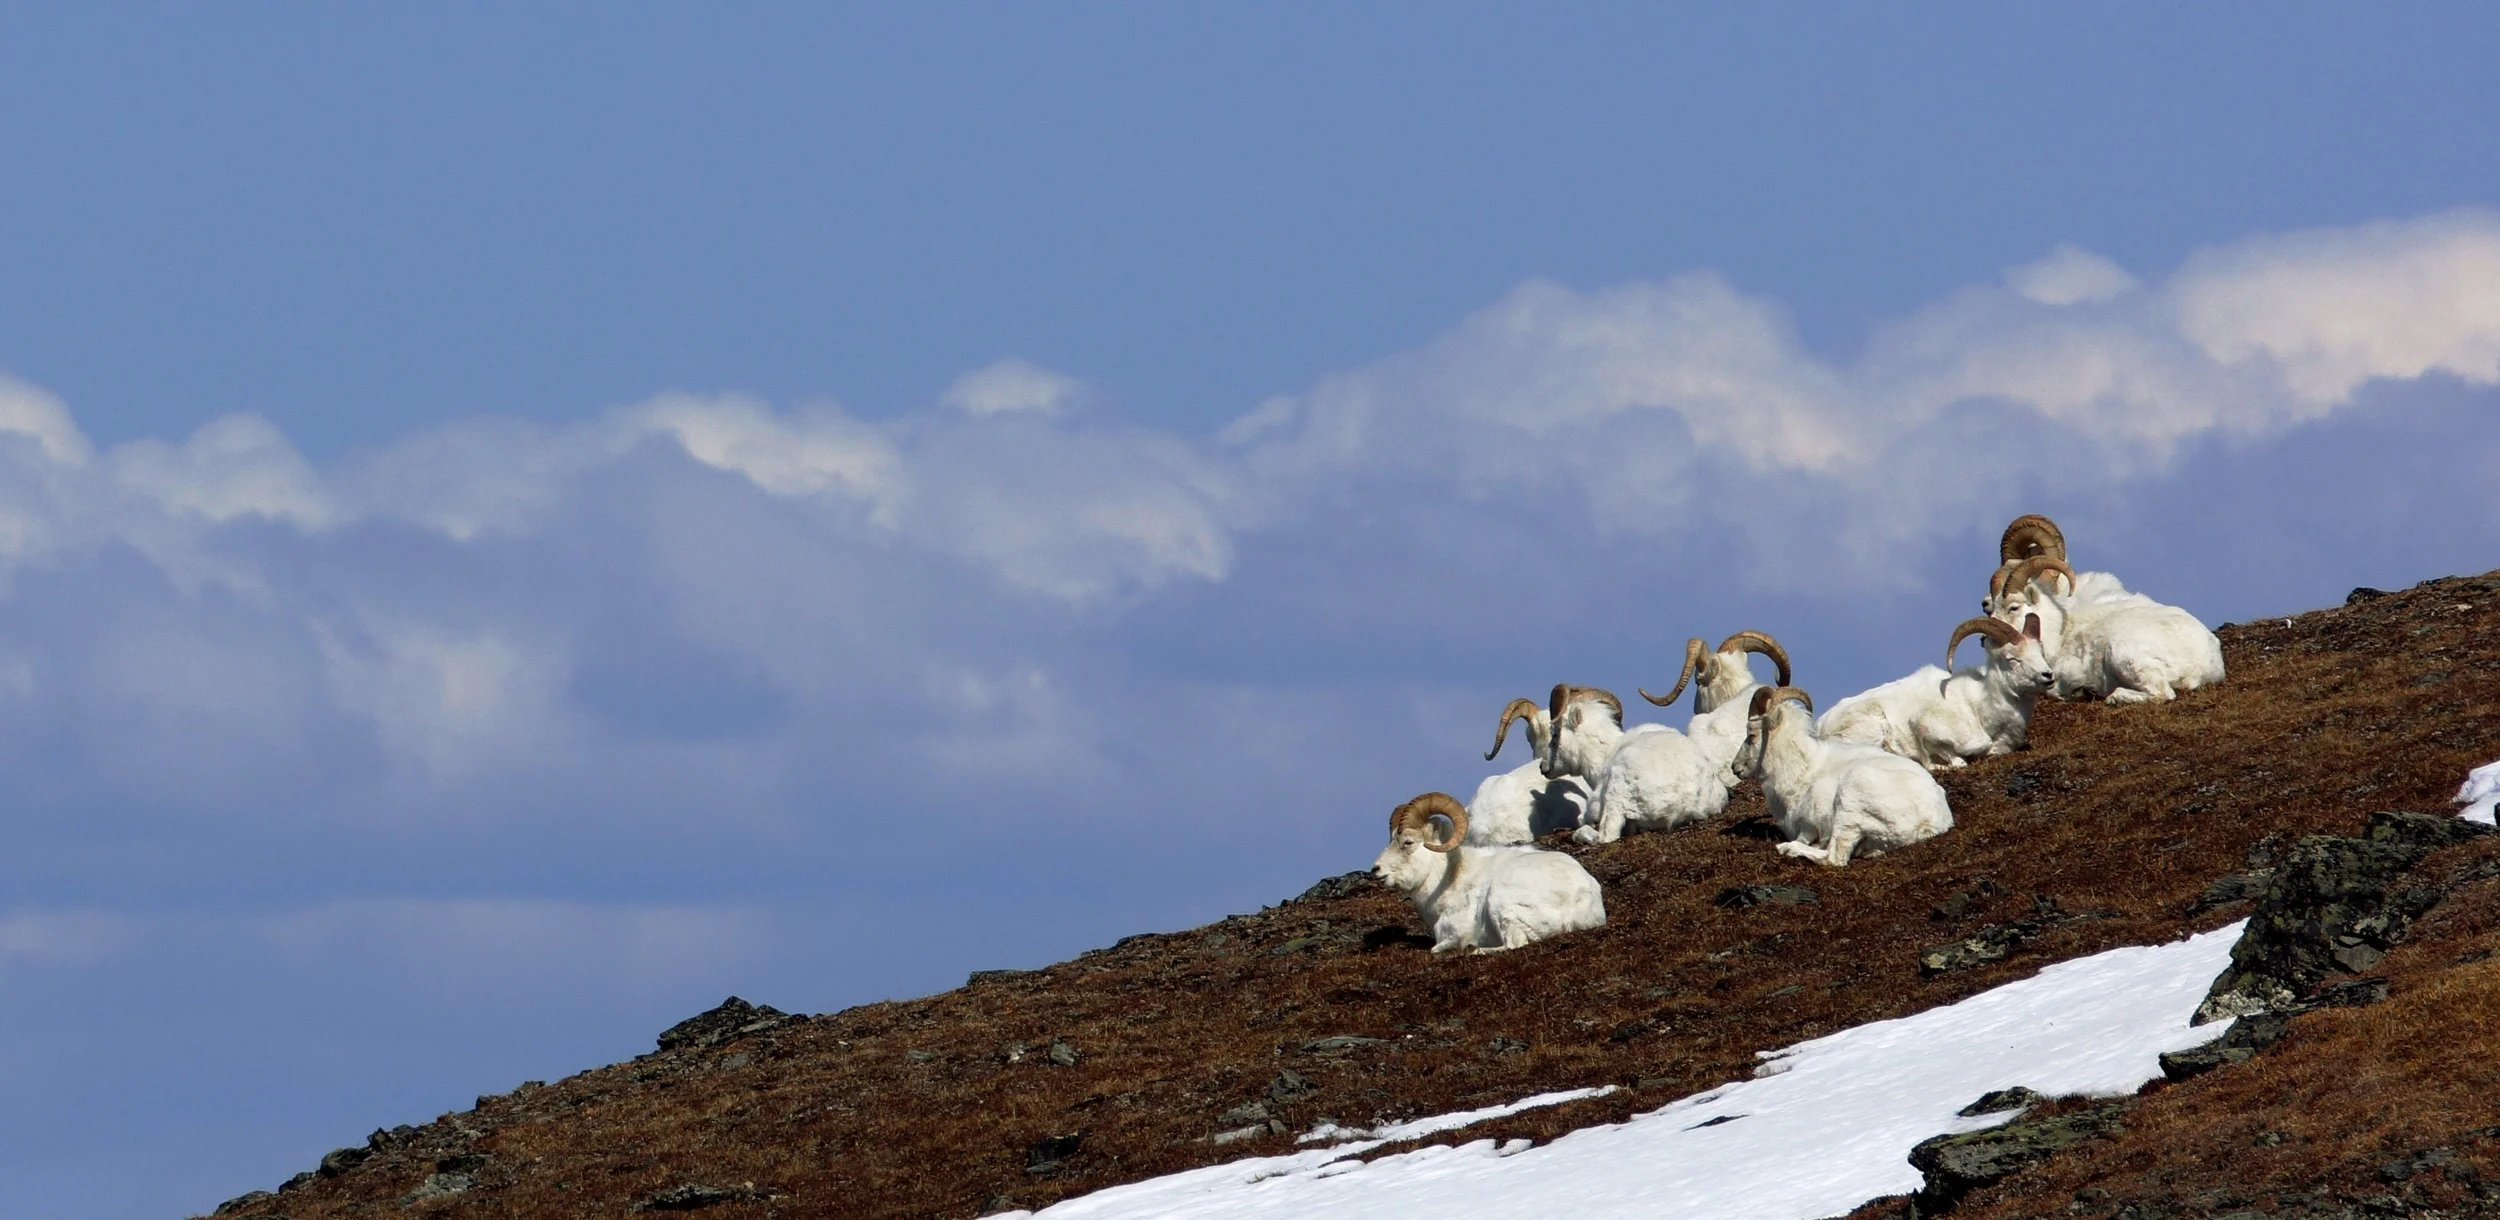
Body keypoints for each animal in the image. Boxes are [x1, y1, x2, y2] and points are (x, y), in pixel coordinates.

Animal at [1371, 792, 1606, 952]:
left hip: (1499, 903)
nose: (1376, 869)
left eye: (1408, 842)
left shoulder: (1455, 933)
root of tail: (1579, 902)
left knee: (1513, 944)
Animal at [1730, 685, 1954, 867]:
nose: (1735, 767)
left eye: (1751, 736)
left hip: (1850, 803)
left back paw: (1787, 848)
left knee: (1834, 857)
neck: (1804, 770)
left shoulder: (1809, 825)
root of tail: (1930, 821)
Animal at [1815, 615, 2057, 769]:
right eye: (2012, 659)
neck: (1979, 707)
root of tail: (1819, 726)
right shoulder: (1923, 724)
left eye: (2040, 652)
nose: (2048, 675)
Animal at [1992, 552, 2226, 705]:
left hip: (2123, 654)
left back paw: (2111, 697)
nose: (1988, 640)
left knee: (2161, 693)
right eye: (1991, 607)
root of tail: (2206, 662)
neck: (2059, 637)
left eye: (2013, 607)